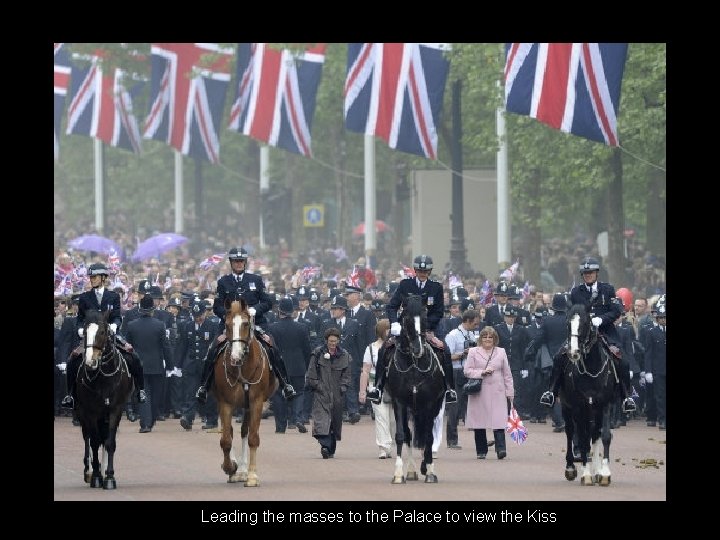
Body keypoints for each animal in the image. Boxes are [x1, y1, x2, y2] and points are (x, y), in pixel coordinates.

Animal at [76, 308, 136, 490]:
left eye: (103, 332)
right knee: (87, 437)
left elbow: (109, 442)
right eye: (85, 332)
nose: (90, 362)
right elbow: (94, 442)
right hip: (81, 412)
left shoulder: (115, 410)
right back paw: (88, 471)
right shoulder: (91, 411)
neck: (104, 377)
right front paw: (96, 476)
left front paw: (109, 477)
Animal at [211, 298, 276, 488]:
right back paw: (236, 470)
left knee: (245, 432)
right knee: (232, 432)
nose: (235, 356)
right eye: (226, 324)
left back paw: (242, 470)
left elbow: (253, 437)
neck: (242, 367)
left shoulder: (256, 402)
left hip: (247, 406)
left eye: (246, 323)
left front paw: (252, 475)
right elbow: (225, 439)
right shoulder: (226, 402)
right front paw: (229, 467)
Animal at [382, 296, 444, 486]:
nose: (418, 349)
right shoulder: (399, 402)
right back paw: (411, 470)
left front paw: (430, 471)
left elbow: (429, 437)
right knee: (410, 435)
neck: (414, 366)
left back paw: (426, 466)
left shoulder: (430, 403)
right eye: (407, 318)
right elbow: (401, 435)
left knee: (426, 436)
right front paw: (398, 474)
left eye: (424, 318)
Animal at [560, 304, 616, 486]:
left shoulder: (605, 404)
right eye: (567, 324)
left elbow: (604, 435)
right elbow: (583, 438)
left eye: (585, 323)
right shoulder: (579, 406)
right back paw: (571, 467)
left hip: (594, 409)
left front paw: (604, 472)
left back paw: (596, 470)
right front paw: (586, 474)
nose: (573, 352)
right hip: (567, 407)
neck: (591, 369)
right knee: (571, 431)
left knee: (595, 433)